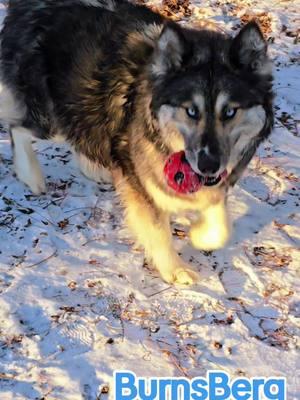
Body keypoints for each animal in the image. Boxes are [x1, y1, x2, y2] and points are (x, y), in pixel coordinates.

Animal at [0, 0, 274, 284]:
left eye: (230, 111)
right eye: (191, 110)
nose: (208, 165)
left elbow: (219, 224)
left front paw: (201, 234)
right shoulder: (143, 186)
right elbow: (159, 230)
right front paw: (175, 269)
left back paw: (93, 168)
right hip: (50, 116)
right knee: (17, 127)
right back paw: (31, 175)